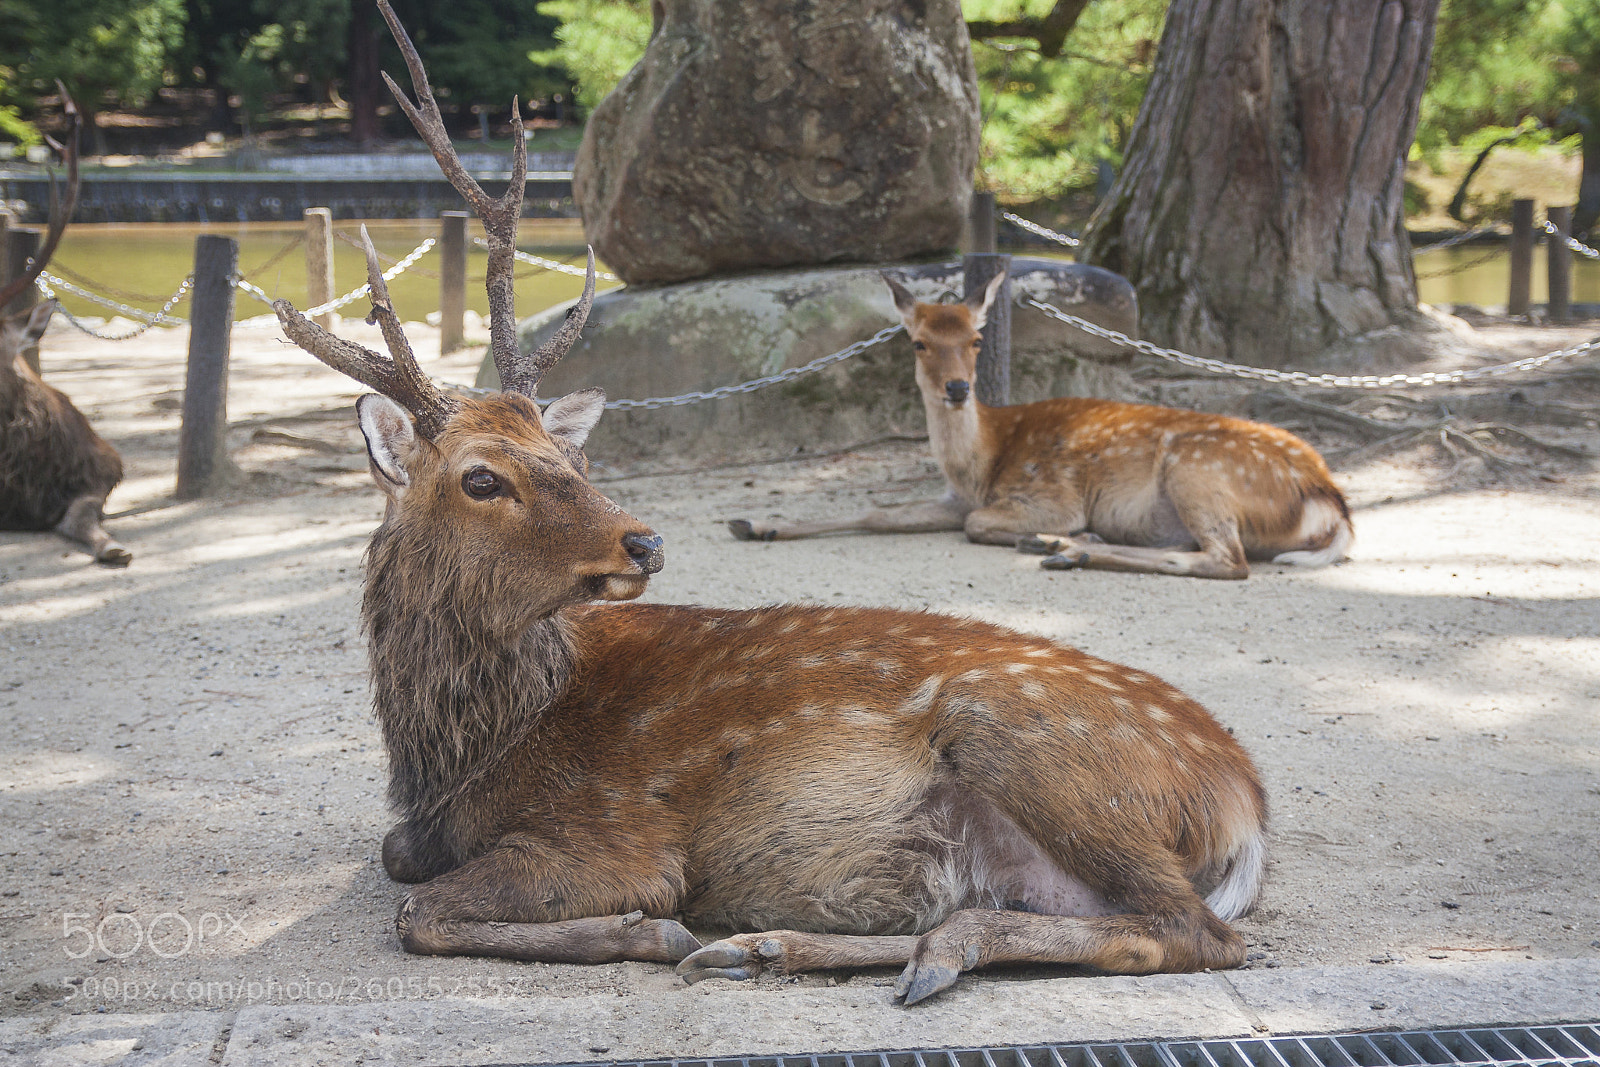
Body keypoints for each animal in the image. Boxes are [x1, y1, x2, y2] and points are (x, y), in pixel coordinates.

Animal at [270, 0, 1269, 1006]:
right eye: (482, 477)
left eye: (569, 452)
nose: (644, 542)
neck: (463, 752)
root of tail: (1245, 803)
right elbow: (398, 856)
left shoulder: (617, 830)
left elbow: (421, 909)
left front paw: (648, 929)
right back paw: (775, 948)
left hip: (1027, 740)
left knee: (1190, 928)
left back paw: (856, 949)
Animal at [728, 275, 1353, 579]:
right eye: (919, 342)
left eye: (977, 339)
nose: (957, 389)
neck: (982, 462)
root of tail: (1331, 501)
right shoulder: (955, 497)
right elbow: (878, 513)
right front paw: (755, 523)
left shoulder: (1051, 495)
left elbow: (976, 524)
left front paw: (1064, 535)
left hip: (1199, 470)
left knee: (1229, 561)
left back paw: (1067, 549)